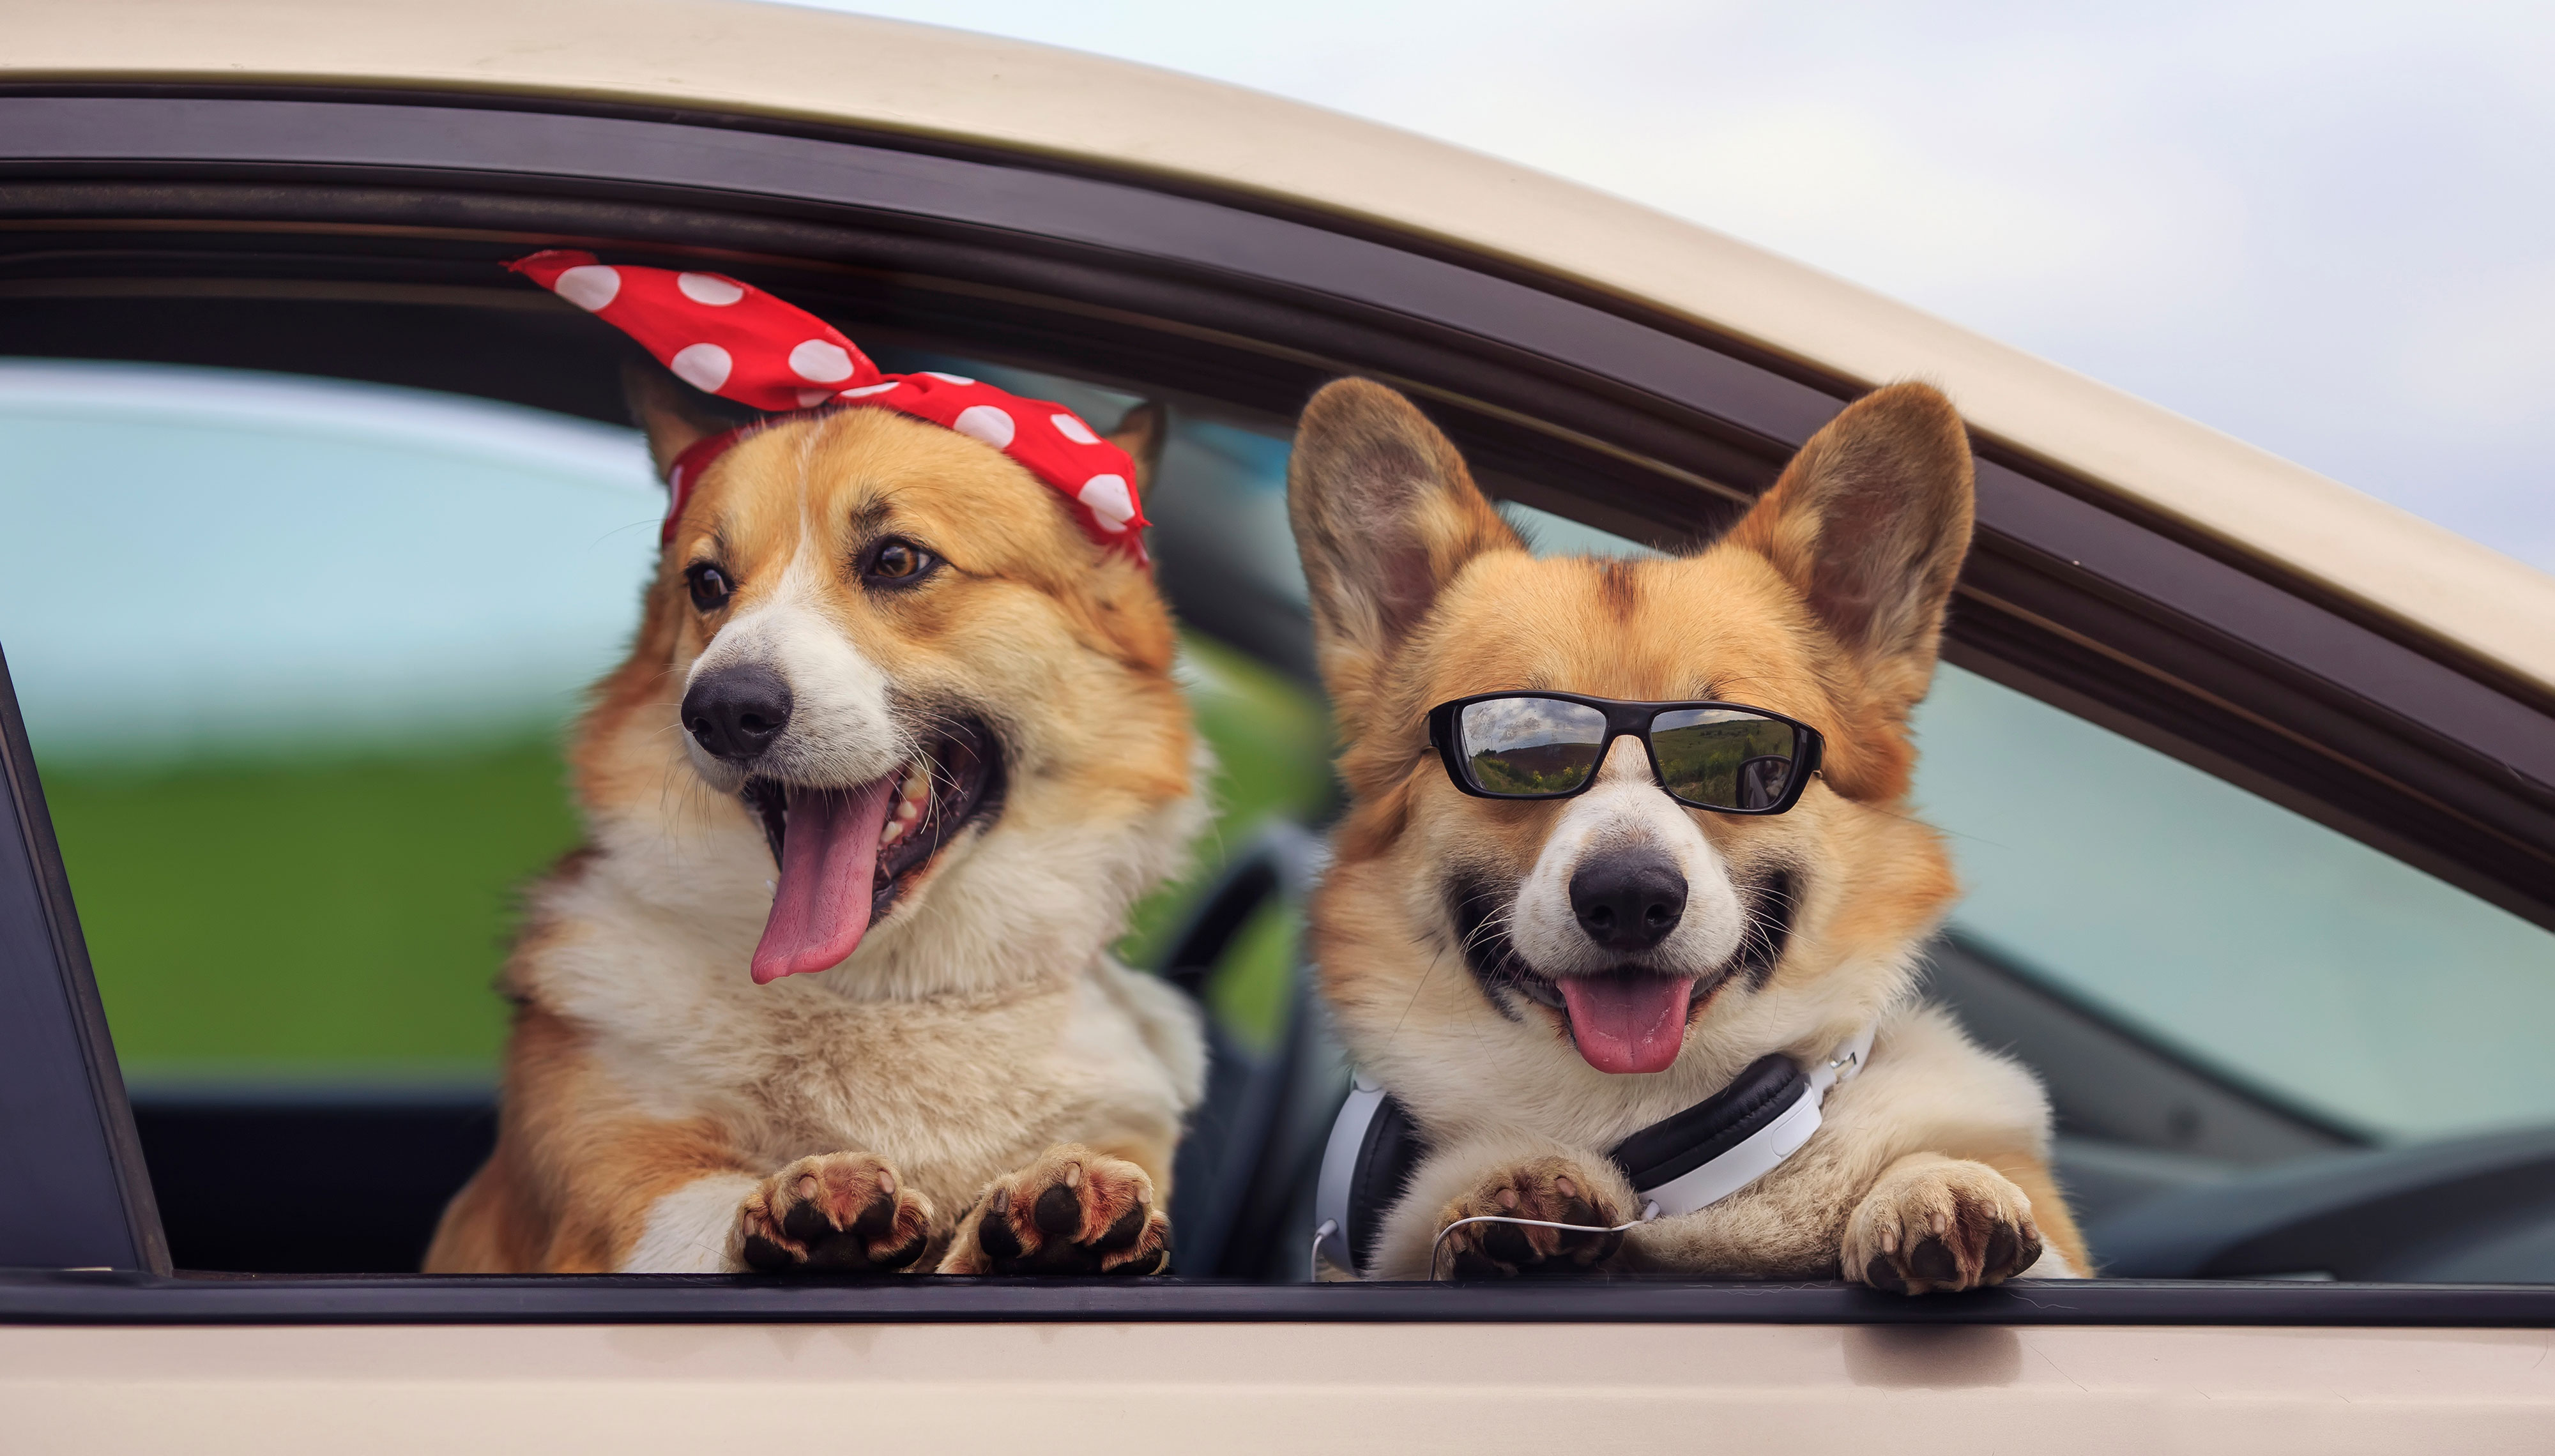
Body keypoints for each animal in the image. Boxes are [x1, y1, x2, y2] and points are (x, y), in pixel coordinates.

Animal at [424, 252, 1201, 1267]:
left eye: (899, 561)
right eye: (708, 584)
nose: (723, 711)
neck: (883, 990)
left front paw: (1047, 1214)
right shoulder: (617, 1194)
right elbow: (699, 1211)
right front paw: (815, 1206)